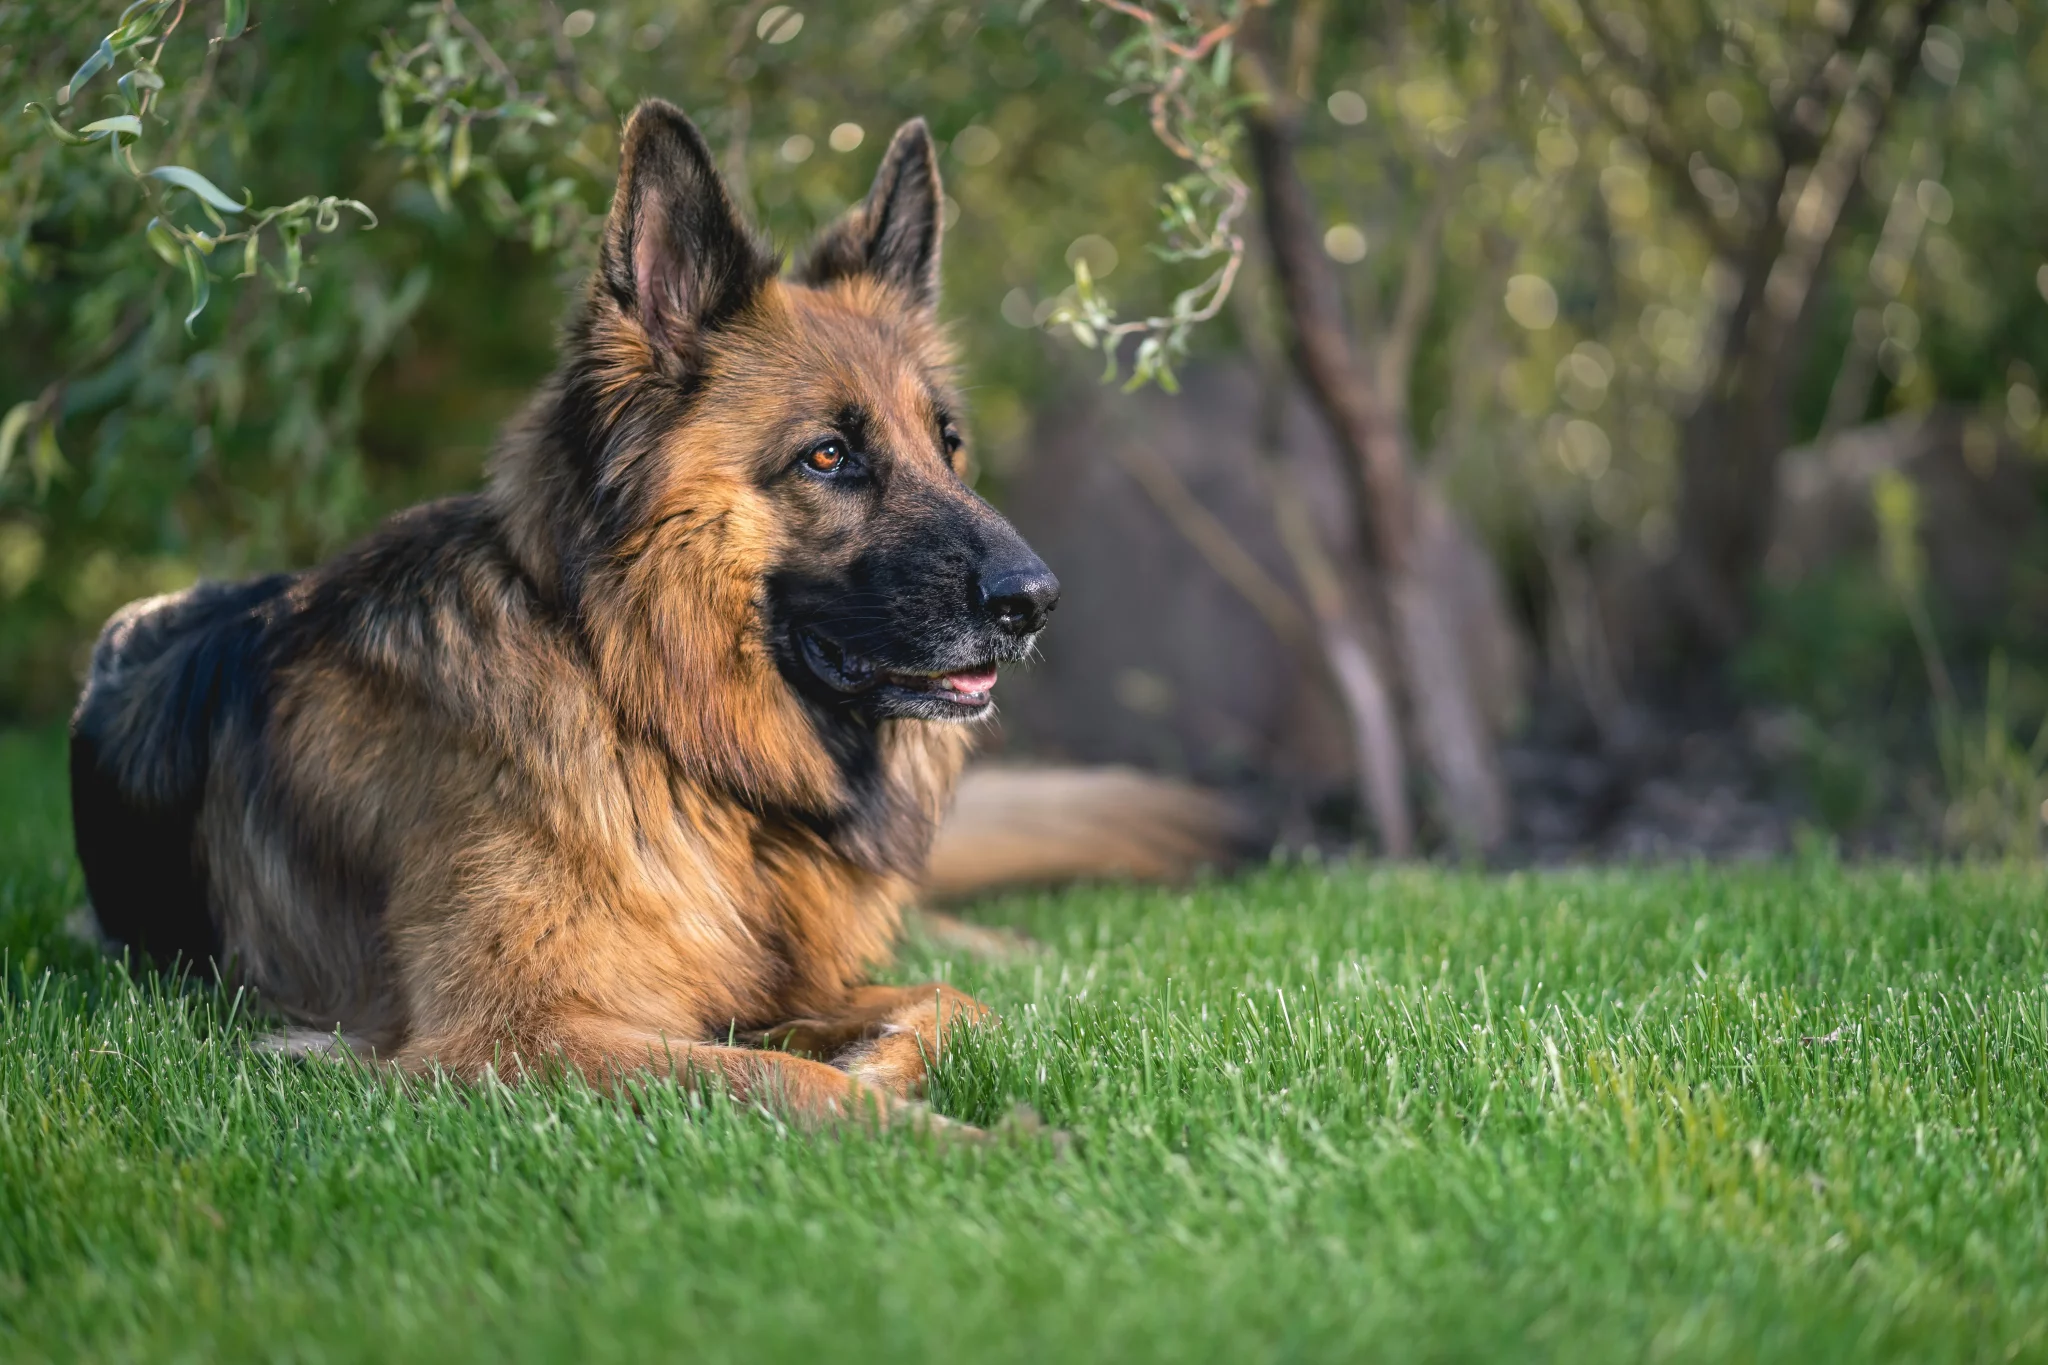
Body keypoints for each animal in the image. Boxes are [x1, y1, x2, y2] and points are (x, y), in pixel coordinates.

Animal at [70, 101, 1064, 1137]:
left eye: (947, 445)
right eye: (828, 455)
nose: (1036, 599)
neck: (653, 716)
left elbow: (958, 1000)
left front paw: (894, 1059)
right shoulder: (510, 1033)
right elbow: (772, 1074)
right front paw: (962, 1135)